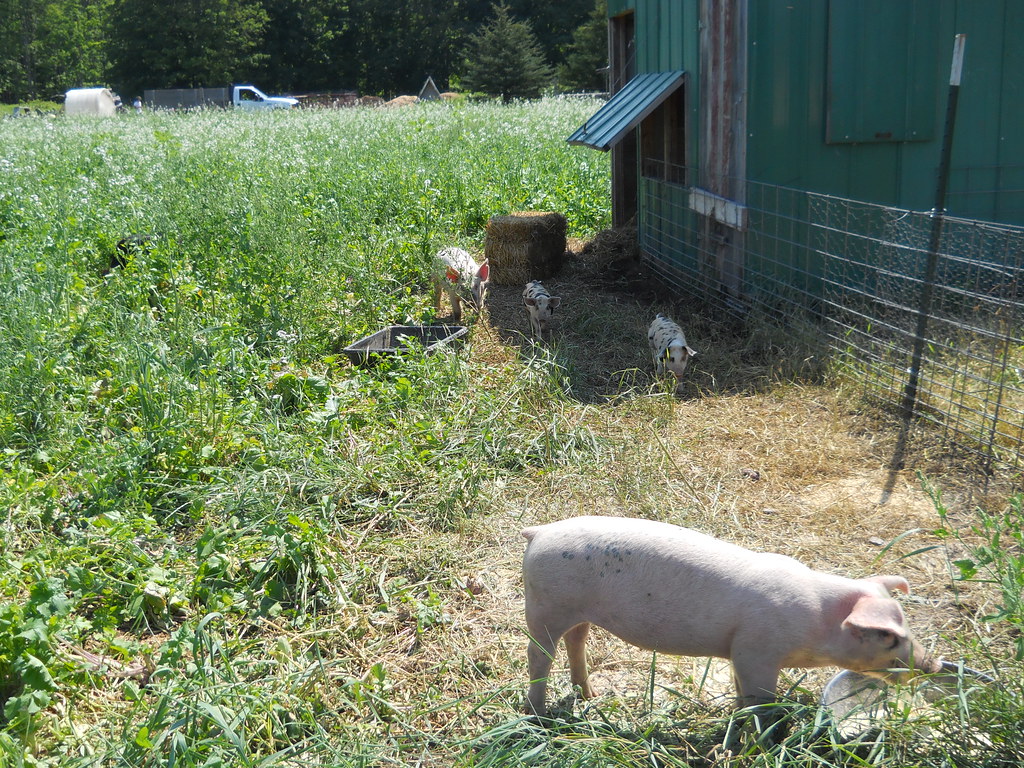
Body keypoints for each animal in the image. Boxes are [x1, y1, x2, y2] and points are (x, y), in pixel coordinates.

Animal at [522, 515, 940, 716]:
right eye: (889, 636)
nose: (933, 665)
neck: (817, 626)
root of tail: (540, 531)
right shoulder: (756, 651)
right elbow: (759, 698)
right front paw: (763, 729)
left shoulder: (740, 652)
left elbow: (742, 692)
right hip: (544, 606)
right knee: (539, 657)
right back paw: (539, 714)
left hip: (576, 610)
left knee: (576, 640)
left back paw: (589, 695)